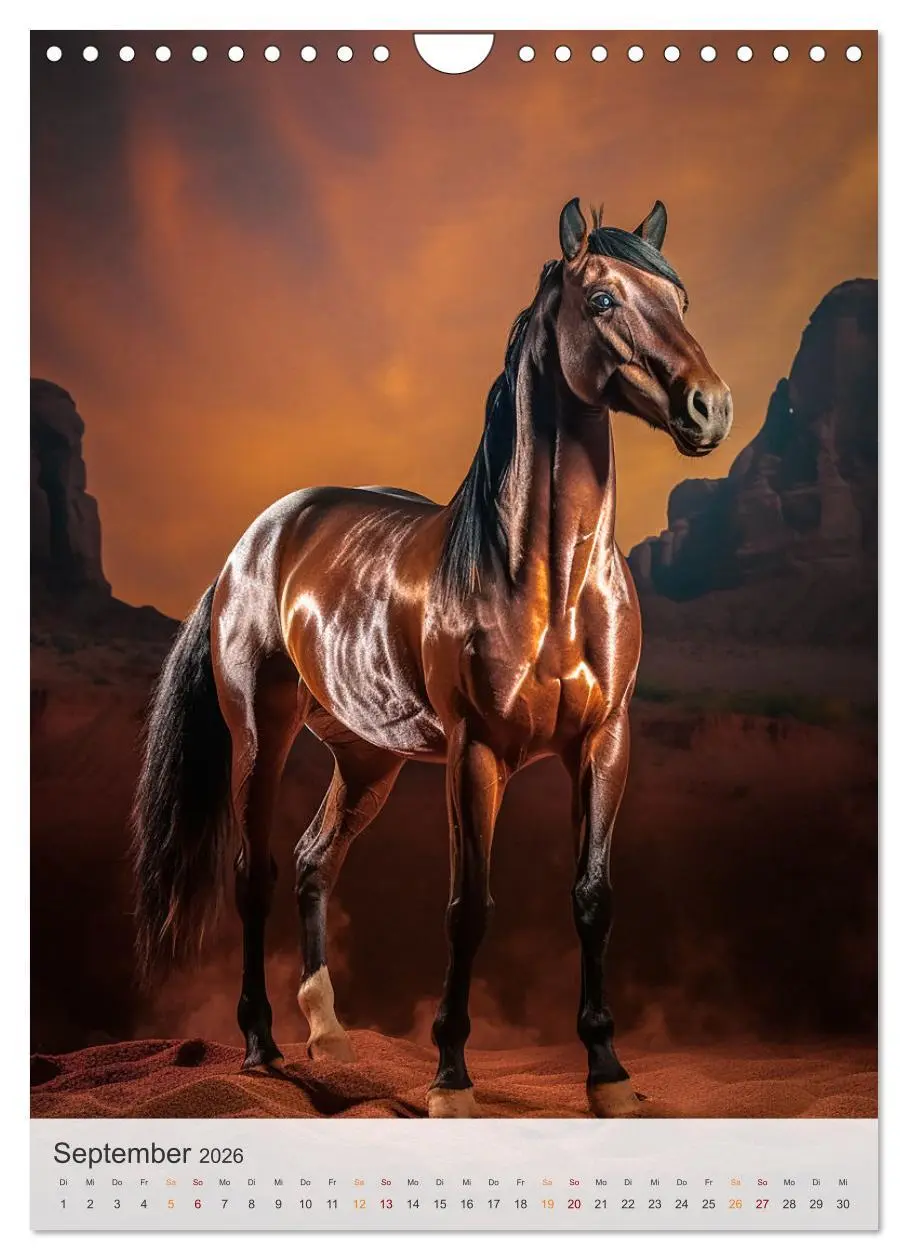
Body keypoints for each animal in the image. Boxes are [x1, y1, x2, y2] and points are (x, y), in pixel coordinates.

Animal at [132, 197, 732, 1118]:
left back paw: (330, 1035)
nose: (709, 407)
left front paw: (609, 1072)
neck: (544, 578)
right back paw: (263, 1044)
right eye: (602, 301)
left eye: (681, 300)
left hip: (366, 758)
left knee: (312, 862)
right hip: (260, 739)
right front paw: (451, 1076)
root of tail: (254, 542)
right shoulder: (474, 753)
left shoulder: (605, 744)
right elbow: (466, 907)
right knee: (254, 872)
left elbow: (593, 898)